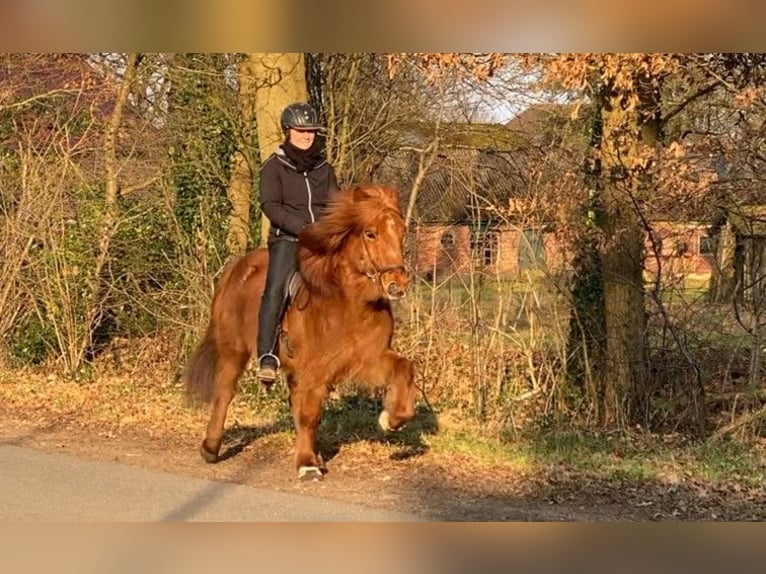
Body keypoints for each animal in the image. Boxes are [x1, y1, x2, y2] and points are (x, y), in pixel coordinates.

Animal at [185, 184, 416, 482]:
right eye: (370, 233)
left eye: (401, 231)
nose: (397, 285)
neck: (351, 303)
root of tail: (237, 268)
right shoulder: (315, 369)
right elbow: (309, 414)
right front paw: (306, 464)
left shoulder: (368, 358)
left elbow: (404, 368)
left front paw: (392, 420)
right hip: (233, 351)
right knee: (224, 393)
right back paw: (211, 447)